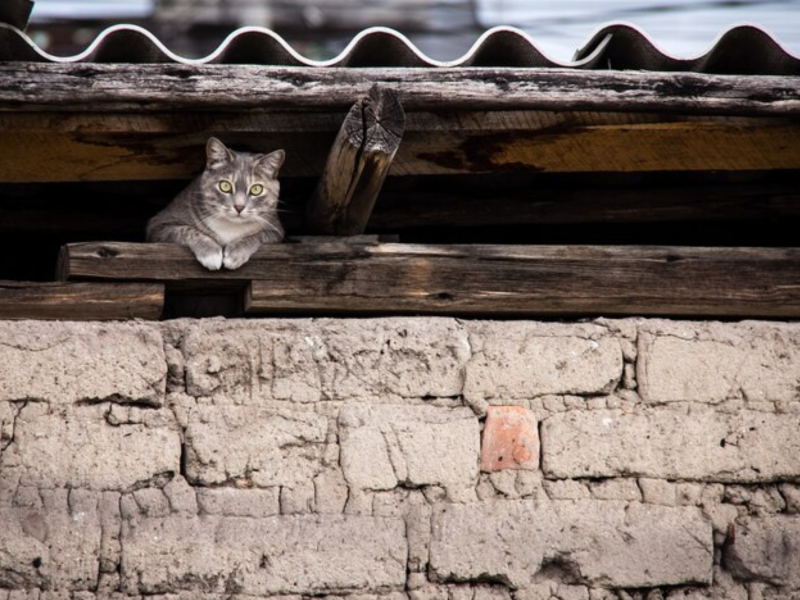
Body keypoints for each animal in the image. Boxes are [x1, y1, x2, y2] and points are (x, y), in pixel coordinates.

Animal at [147, 137, 284, 270]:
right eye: (225, 186)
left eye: (256, 189)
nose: (239, 207)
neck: (230, 226)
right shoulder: (158, 224)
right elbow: (187, 230)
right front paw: (210, 252)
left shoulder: (277, 230)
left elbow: (259, 234)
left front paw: (236, 252)